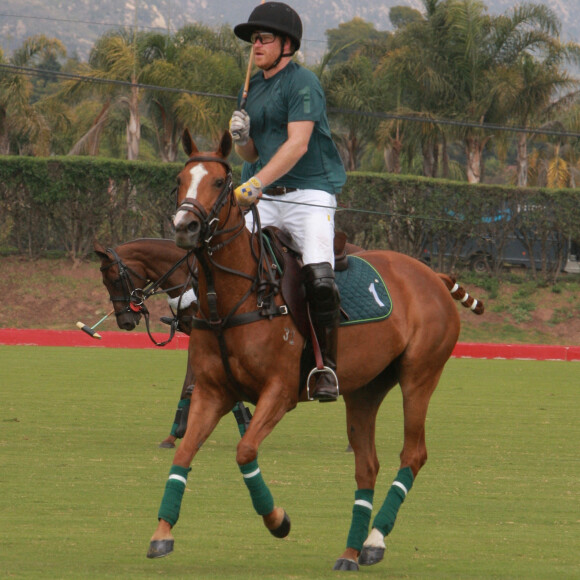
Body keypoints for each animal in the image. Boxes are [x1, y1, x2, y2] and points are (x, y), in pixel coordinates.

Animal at [147, 130, 482, 572]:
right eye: (180, 180)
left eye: (219, 182)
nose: (184, 226)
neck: (239, 294)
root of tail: (433, 274)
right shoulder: (213, 391)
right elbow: (183, 452)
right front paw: (161, 533)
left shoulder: (280, 391)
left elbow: (245, 449)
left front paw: (278, 520)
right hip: (365, 390)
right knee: (367, 466)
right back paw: (350, 553)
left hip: (420, 374)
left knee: (413, 454)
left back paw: (374, 541)